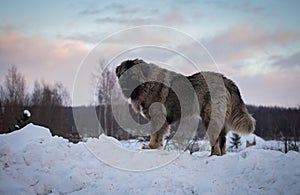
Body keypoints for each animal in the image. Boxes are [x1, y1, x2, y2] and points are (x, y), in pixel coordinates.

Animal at [115, 58, 255, 156]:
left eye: (132, 75)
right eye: (122, 74)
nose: (125, 85)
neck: (146, 84)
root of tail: (224, 79)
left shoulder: (157, 117)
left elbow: (155, 134)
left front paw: (150, 146)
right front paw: (156, 146)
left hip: (210, 117)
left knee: (216, 139)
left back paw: (213, 155)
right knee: (223, 140)